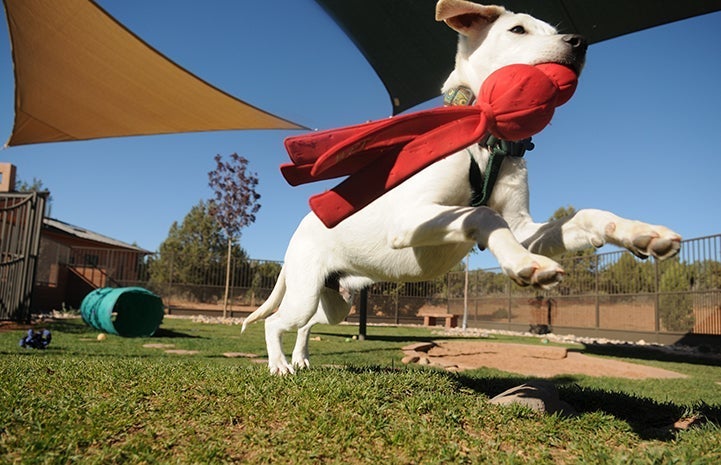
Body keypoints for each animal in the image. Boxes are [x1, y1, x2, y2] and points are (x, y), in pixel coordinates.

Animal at [243, 0, 680, 374]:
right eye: (518, 29)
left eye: (555, 31)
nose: (579, 42)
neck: (486, 142)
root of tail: (300, 229)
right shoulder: (408, 221)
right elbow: (481, 213)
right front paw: (523, 263)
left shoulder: (524, 226)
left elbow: (584, 216)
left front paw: (639, 233)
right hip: (305, 293)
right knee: (275, 322)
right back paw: (279, 365)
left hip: (336, 302)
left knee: (306, 324)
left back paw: (300, 359)